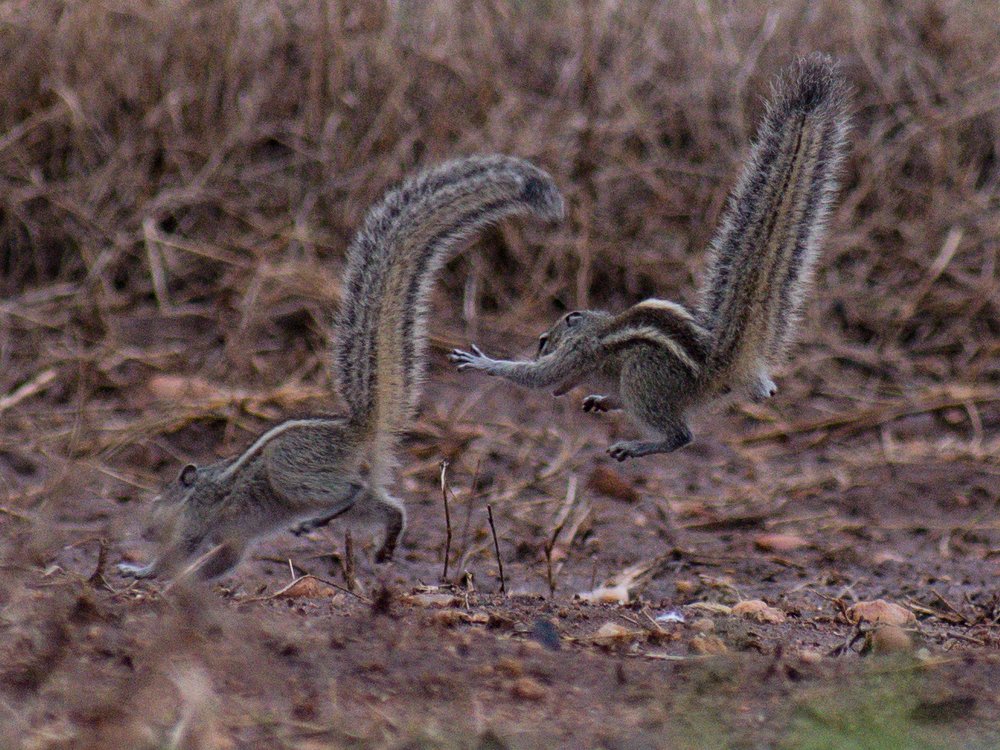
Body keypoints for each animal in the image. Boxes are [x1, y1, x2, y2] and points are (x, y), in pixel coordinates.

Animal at [118, 155, 565, 580]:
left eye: (159, 502)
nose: (142, 531)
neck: (202, 489)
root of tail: (357, 429)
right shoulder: (232, 542)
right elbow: (221, 562)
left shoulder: (199, 523)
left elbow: (181, 554)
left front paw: (144, 572)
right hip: (345, 494)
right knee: (389, 507)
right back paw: (385, 547)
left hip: (292, 472)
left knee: (350, 490)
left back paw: (319, 522)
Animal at [450, 54, 851, 461]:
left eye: (545, 342)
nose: (541, 344)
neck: (597, 325)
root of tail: (716, 370)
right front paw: (601, 399)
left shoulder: (577, 354)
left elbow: (540, 377)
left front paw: (484, 362)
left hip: (643, 378)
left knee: (681, 435)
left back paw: (636, 445)